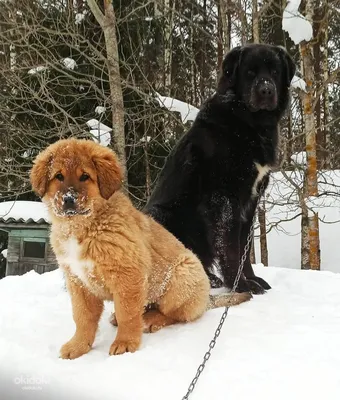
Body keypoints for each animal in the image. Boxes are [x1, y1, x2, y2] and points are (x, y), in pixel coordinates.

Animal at [29, 138, 252, 360]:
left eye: (85, 177)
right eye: (59, 176)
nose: (68, 199)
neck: (84, 227)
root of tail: (206, 299)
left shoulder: (128, 275)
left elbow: (127, 314)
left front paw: (125, 343)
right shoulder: (78, 281)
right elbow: (83, 318)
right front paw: (78, 346)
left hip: (182, 275)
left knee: (176, 314)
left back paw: (152, 320)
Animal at [145, 44, 294, 294]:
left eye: (274, 72)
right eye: (250, 72)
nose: (266, 91)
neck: (249, 124)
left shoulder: (250, 201)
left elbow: (244, 247)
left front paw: (252, 279)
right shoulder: (223, 198)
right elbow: (231, 246)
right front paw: (240, 285)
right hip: (160, 215)